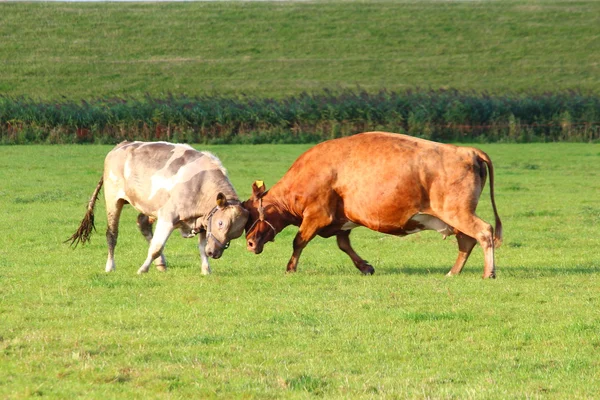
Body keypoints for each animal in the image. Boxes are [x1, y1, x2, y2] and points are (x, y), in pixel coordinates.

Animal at [68, 141, 248, 276]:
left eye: (236, 233)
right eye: (220, 223)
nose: (215, 253)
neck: (201, 184)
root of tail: (122, 144)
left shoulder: (203, 221)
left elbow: (202, 248)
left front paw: (206, 270)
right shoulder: (168, 217)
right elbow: (156, 246)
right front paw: (142, 270)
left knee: (142, 223)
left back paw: (160, 263)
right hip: (113, 198)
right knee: (112, 234)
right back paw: (110, 266)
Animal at [244, 131, 502, 278]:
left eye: (254, 213)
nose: (249, 243)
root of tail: (467, 151)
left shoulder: (318, 214)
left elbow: (298, 241)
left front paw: (290, 268)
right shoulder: (341, 221)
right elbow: (344, 245)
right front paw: (365, 267)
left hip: (457, 211)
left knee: (484, 232)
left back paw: (488, 273)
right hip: (455, 215)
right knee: (467, 241)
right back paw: (453, 272)